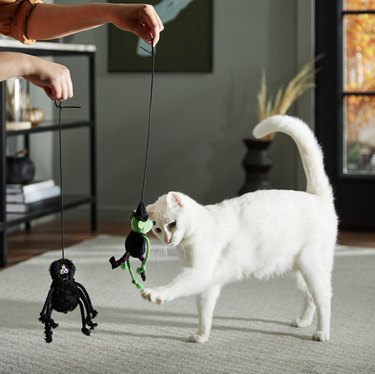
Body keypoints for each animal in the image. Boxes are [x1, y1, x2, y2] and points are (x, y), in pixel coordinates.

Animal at [143, 115, 338, 344]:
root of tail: (316, 196)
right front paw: (201, 336)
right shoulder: (208, 285)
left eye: (172, 224)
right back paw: (303, 322)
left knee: (324, 299)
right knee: (310, 297)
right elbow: (204, 313)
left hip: (312, 266)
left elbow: (175, 286)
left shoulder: (199, 273)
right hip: (297, 271)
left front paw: (155, 294)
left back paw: (322, 333)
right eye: (157, 229)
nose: (166, 239)